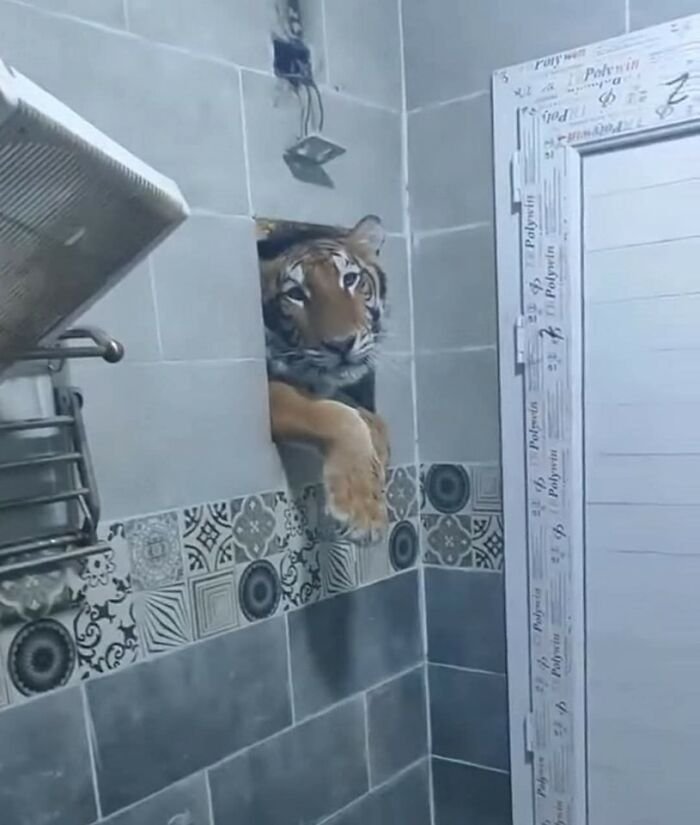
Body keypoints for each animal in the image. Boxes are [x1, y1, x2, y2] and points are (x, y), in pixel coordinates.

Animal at [259, 215, 390, 540]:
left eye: (350, 279)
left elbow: (369, 415)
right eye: (295, 294)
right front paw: (363, 510)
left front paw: (380, 454)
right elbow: (338, 415)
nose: (342, 344)